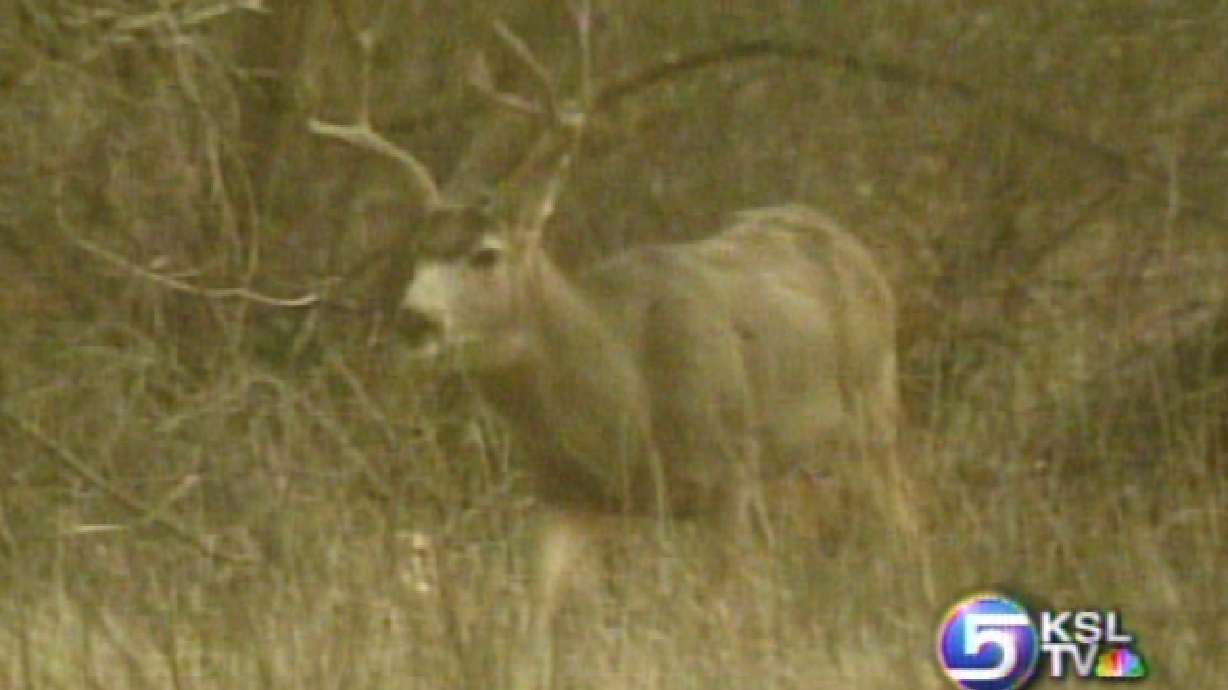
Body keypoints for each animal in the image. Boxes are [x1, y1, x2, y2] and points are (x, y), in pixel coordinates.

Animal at [310, 9, 904, 688]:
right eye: (418, 250)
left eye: (486, 253)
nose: (415, 320)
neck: (624, 387)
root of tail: (848, 241)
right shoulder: (564, 490)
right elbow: (533, 621)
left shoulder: (728, 470)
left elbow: (726, 612)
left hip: (874, 413)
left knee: (904, 526)